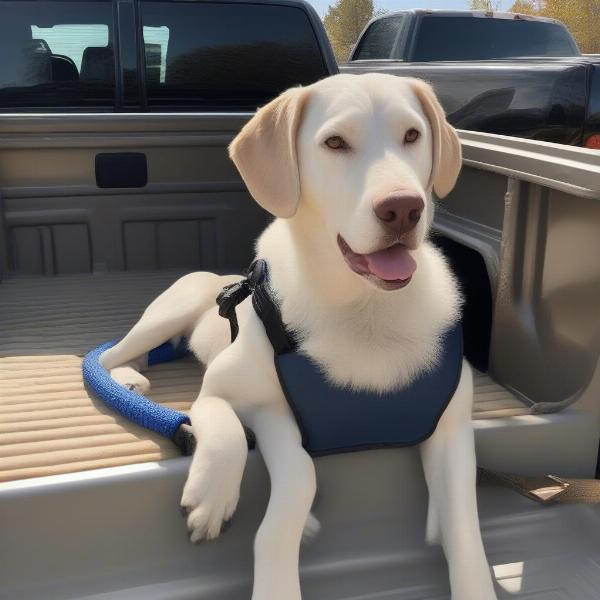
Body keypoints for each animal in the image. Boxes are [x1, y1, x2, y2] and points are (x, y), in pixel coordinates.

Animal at [101, 74, 496, 600]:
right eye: (335, 143)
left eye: (412, 135)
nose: (403, 208)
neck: (365, 311)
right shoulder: (224, 392)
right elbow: (245, 442)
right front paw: (212, 496)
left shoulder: (450, 429)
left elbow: (465, 532)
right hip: (165, 314)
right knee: (109, 356)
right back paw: (124, 377)